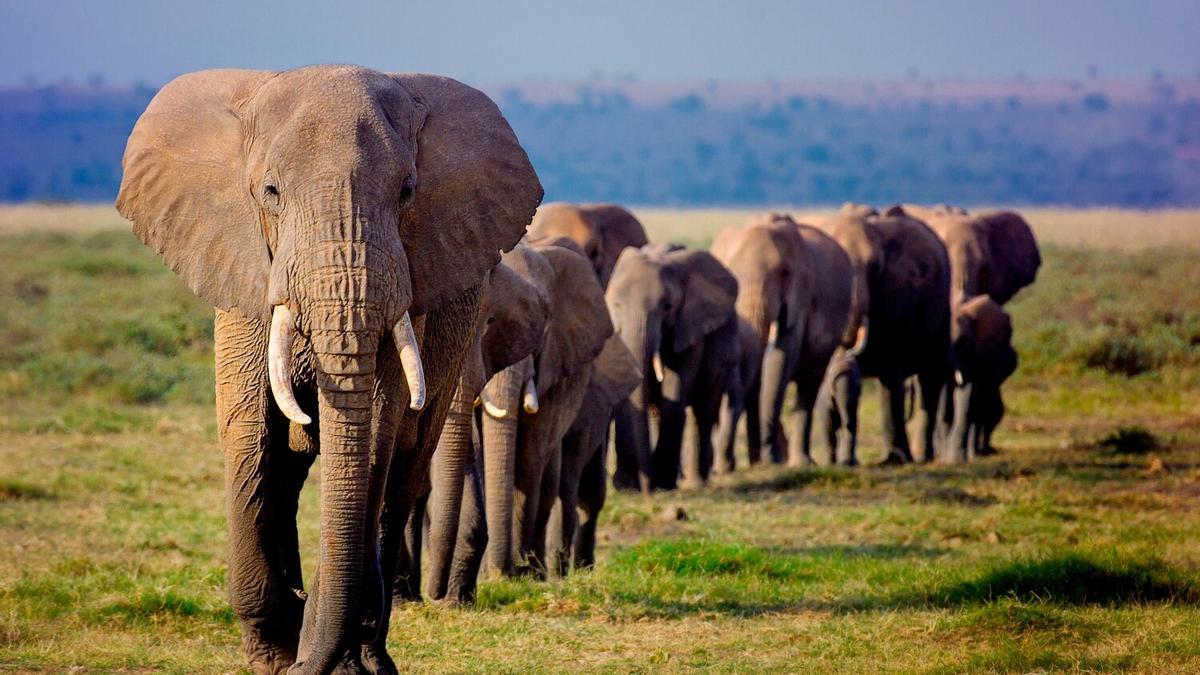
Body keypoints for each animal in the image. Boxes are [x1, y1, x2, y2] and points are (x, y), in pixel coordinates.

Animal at [115, 66, 541, 674]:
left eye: (407, 191)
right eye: (270, 192)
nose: (303, 663)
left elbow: (376, 429)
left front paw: (323, 654)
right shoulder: (244, 269)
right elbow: (250, 437)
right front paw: (274, 656)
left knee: (401, 473)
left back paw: (368, 653)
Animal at [474, 240, 613, 578]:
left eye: (547, 318)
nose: (502, 571)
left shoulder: (555, 365)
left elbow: (530, 458)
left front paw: (520, 572)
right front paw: (493, 574)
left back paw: (538, 569)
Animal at [608, 244, 740, 492]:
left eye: (667, 307)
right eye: (617, 305)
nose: (646, 490)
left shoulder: (691, 325)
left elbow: (674, 386)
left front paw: (664, 483)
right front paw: (626, 486)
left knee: (703, 408)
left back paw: (695, 482)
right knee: (657, 410)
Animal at [710, 213, 854, 468]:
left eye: (785, 273)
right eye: (730, 273)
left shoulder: (802, 293)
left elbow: (783, 351)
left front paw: (770, 460)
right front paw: (760, 461)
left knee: (809, 385)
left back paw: (800, 462)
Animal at [815, 204, 952, 466]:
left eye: (875, 268)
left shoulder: (898, 295)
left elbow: (892, 370)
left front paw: (895, 460)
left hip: (942, 309)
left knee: (931, 377)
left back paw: (923, 457)